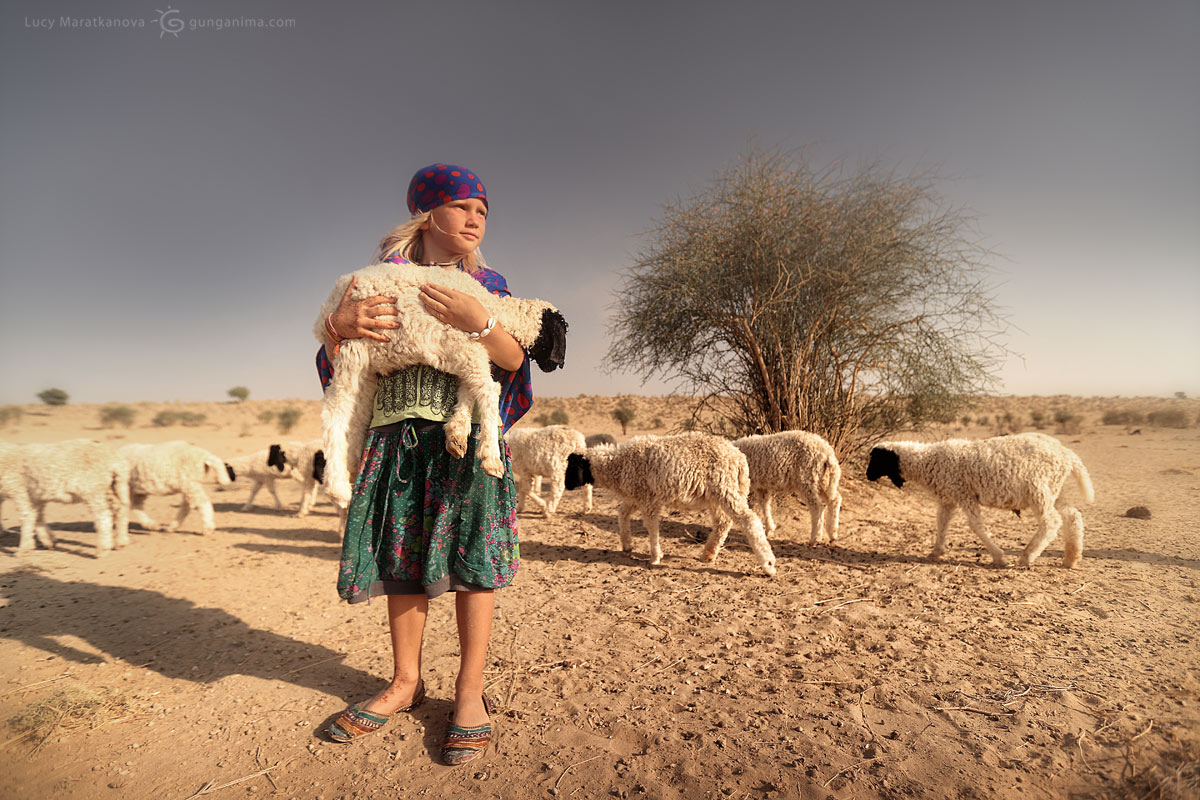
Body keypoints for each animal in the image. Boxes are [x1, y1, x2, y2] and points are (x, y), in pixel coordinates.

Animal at [0, 438, 131, 556]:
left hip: (94, 489)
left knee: (104, 516)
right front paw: (49, 540)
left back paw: (102, 549)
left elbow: (26, 518)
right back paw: (121, 542)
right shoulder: (36, 497)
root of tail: (113, 459)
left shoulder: (20, 491)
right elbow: (38, 518)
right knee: (120, 509)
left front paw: (23, 549)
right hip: (110, 487)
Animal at [314, 267, 566, 506]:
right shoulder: (464, 344)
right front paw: (491, 457)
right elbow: (488, 389)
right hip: (353, 345)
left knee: (355, 421)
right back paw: (338, 489)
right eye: (557, 332)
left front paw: (457, 432)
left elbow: (467, 390)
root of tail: (326, 309)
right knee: (333, 413)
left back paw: (351, 470)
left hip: (366, 371)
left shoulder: (463, 351)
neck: (492, 308)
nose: (555, 365)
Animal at [564, 431, 777, 575]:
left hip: (725, 489)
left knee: (749, 520)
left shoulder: (647, 499)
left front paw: (655, 557)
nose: (566, 485)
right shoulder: (636, 497)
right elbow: (622, 513)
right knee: (723, 523)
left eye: (572, 466)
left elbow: (651, 527)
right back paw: (708, 554)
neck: (618, 464)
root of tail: (739, 458)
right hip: (722, 493)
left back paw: (768, 564)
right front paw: (627, 544)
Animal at [864, 431, 1099, 568]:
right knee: (1073, 515)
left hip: (1038, 490)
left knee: (1051, 522)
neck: (928, 460)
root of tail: (1067, 454)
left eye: (877, 459)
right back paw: (1071, 558)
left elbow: (975, 526)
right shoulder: (949, 498)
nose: (867, 475)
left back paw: (1027, 556)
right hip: (1055, 491)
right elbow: (941, 523)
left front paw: (999, 557)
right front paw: (936, 551)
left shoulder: (965, 495)